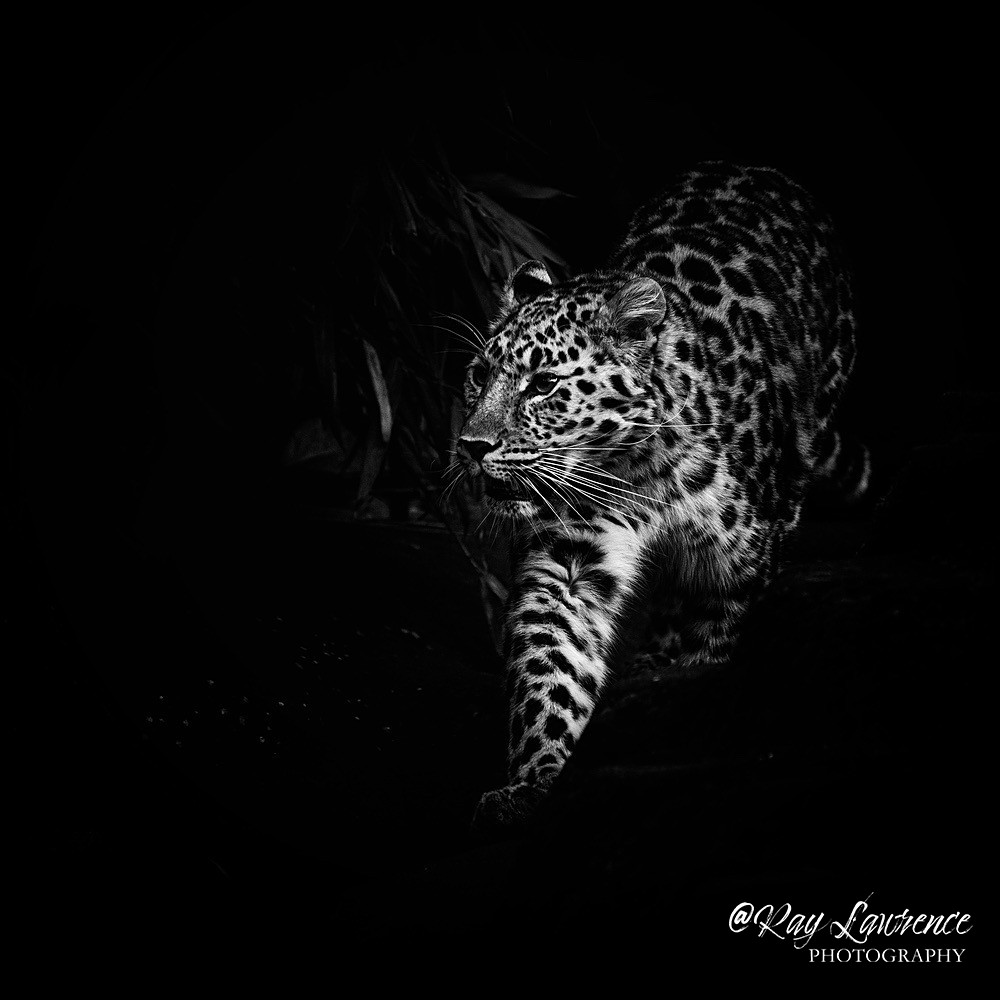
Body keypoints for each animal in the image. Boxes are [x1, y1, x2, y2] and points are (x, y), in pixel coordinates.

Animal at [452, 162, 869, 829]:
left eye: (543, 385)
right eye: (479, 375)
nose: (471, 445)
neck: (640, 468)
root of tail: (757, 168)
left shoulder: (737, 568)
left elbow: (713, 641)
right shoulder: (570, 558)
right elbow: (551, 667)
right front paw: (532, 784)